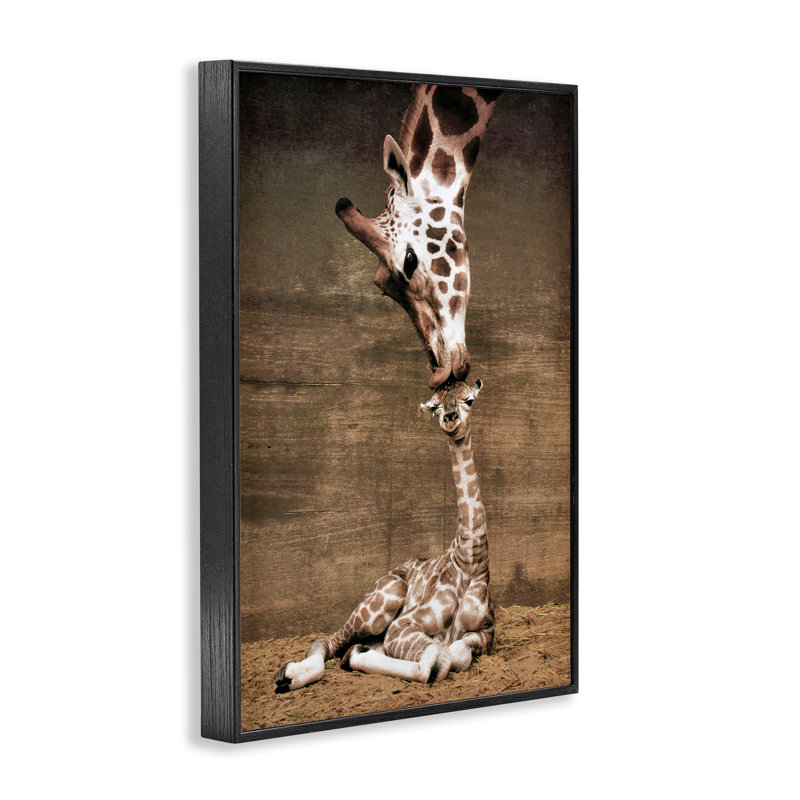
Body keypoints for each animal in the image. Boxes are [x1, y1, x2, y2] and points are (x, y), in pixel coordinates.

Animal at [274, 379, 492, 691]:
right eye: (435, 407)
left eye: (469, 400)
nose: (451, 419)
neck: (470, 557)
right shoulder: (402, 626)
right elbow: (437, 659)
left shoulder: (487, 631)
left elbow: (457, 655)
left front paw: (358, 655)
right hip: (382, 602)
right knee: (326, 640)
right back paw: (288, 675)